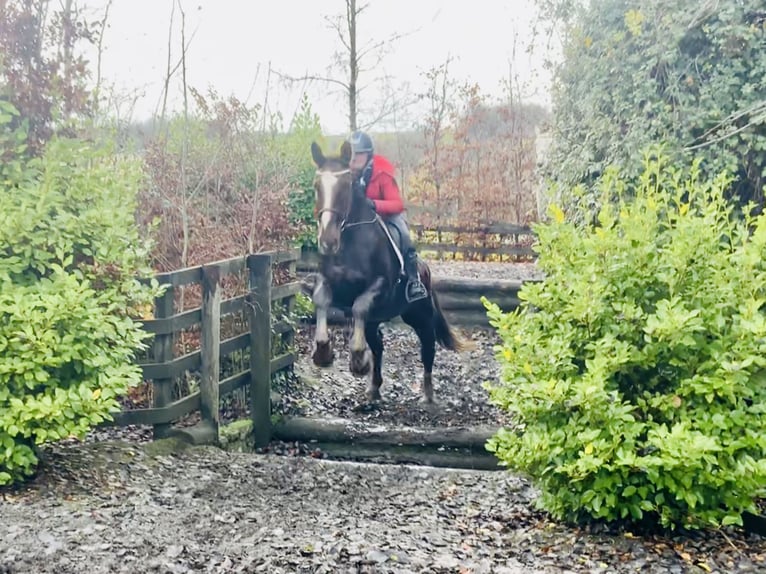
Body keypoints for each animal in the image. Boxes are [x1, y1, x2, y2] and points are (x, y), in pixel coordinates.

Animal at [304, 140, 474, 408]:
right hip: (378, 321)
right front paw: (323, 353)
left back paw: (427, 394)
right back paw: (374, 387)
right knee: (378, 346)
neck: (349, 242)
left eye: (346, 186)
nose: (328, 242)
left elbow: (359, 306)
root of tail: (425, 270)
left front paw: (358, 361)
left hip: (420, 316)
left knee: (427, 348)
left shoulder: (380, 286)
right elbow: (322, 300)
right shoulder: (329, 283)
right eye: (316, 186)